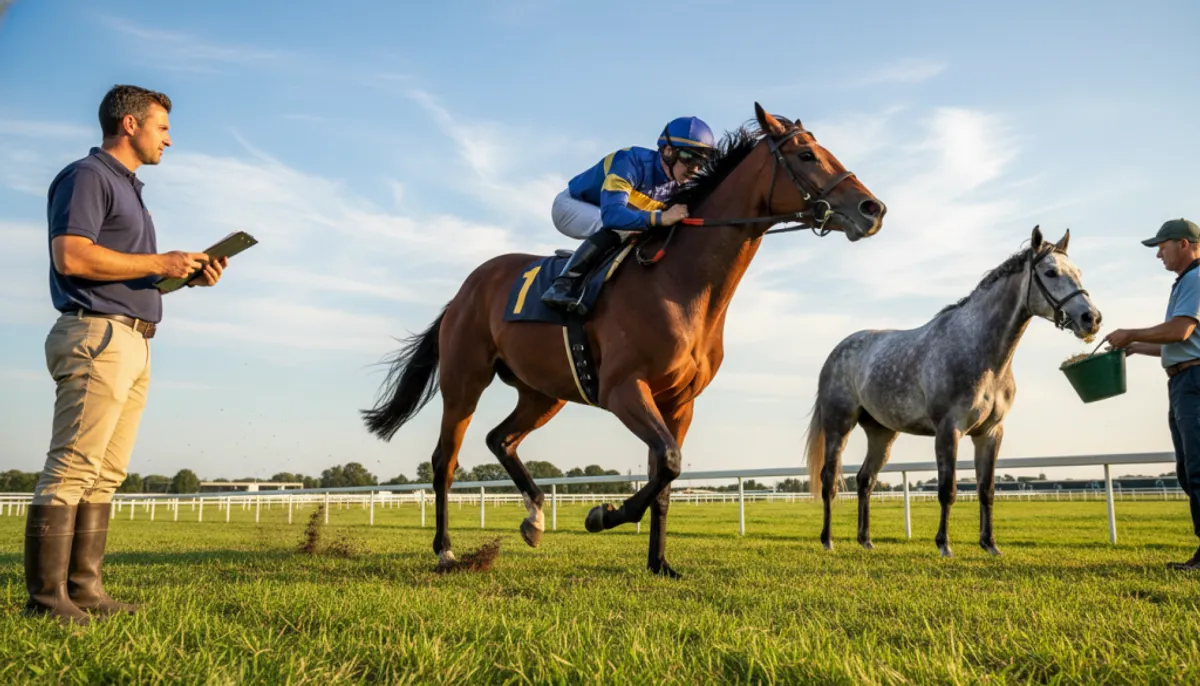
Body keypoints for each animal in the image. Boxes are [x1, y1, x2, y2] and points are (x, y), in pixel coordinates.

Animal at [362, 103, 887, 577]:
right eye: (806, 155)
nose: (873, 209)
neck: (679, 284)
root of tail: (464, 290)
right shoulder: (623, 389)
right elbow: (669, 463)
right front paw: (604, 514)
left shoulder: (679, 401)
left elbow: (666, 475)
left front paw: (659, 563)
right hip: (465, 379)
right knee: (445, 461)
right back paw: (446, 550)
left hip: (543, 392)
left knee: (500, 438)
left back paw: (534, 517)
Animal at [803, 225, 1102, 557]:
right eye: (1050, 272)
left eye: (1078, 272)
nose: (1091, 318)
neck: (980, 352)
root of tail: (837, 351)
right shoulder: (949, 430)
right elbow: (948, 489)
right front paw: (944, 545)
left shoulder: (990, 433)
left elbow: (986, 490)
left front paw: (990, 545)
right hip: (839, 426)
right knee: (829, 480)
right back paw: (827, 540)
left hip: (882, 433)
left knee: (865, 480)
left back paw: (866, 540)